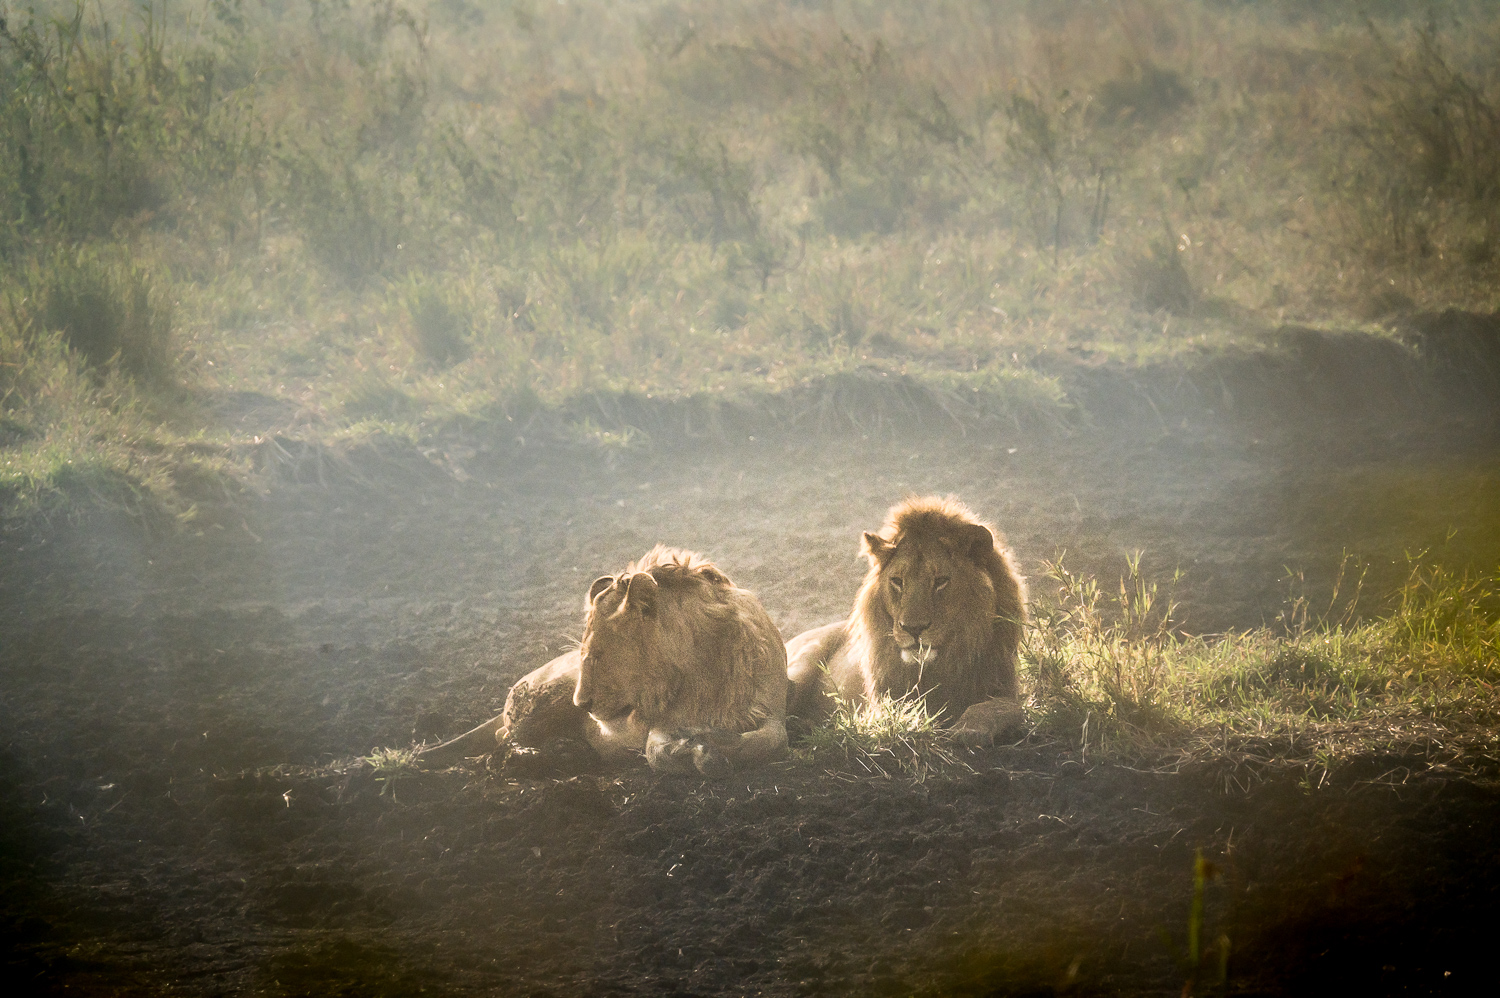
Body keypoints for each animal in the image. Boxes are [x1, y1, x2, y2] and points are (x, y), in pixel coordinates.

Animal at [423, 549, 792, 774]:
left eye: (599, 655)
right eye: (586, 656)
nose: (582, 703)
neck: (701, 667)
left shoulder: (771, 710)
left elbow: (773, 740)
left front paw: (715, 746)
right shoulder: (659, 726)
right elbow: (655, 754)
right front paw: (696, 751)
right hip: (547, 698)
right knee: (504, 737)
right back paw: (551, 754)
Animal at [792, 495, 1026, 744]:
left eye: (940, 581)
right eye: (897, 581)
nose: (913, 629)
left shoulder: (1003, 687)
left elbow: (1002, 707)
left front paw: (970, 730)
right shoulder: (883, 705)